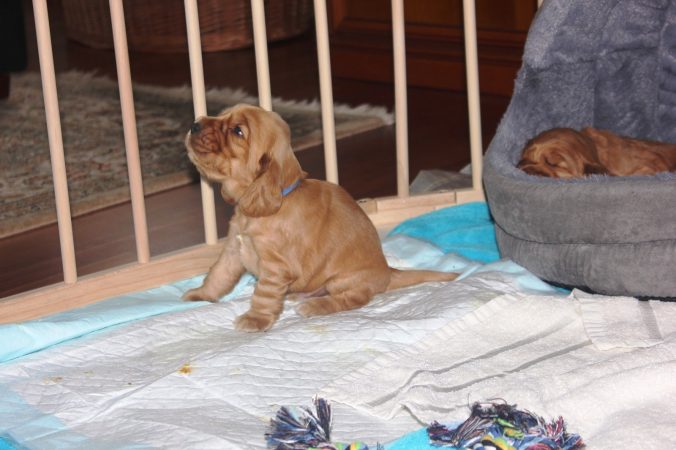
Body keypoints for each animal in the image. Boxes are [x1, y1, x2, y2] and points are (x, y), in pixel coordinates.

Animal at [183, 104, 458, 332]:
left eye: (237, 131)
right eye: (221, 115)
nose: (194, 124)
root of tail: (388, 272)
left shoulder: (276, 267)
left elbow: (264, 295)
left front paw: (255, 319)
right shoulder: (232, 249)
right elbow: (218, 274)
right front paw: (200, 294)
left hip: (343, 280)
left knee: (354, 299)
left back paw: (315, 306)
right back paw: (300, 296)